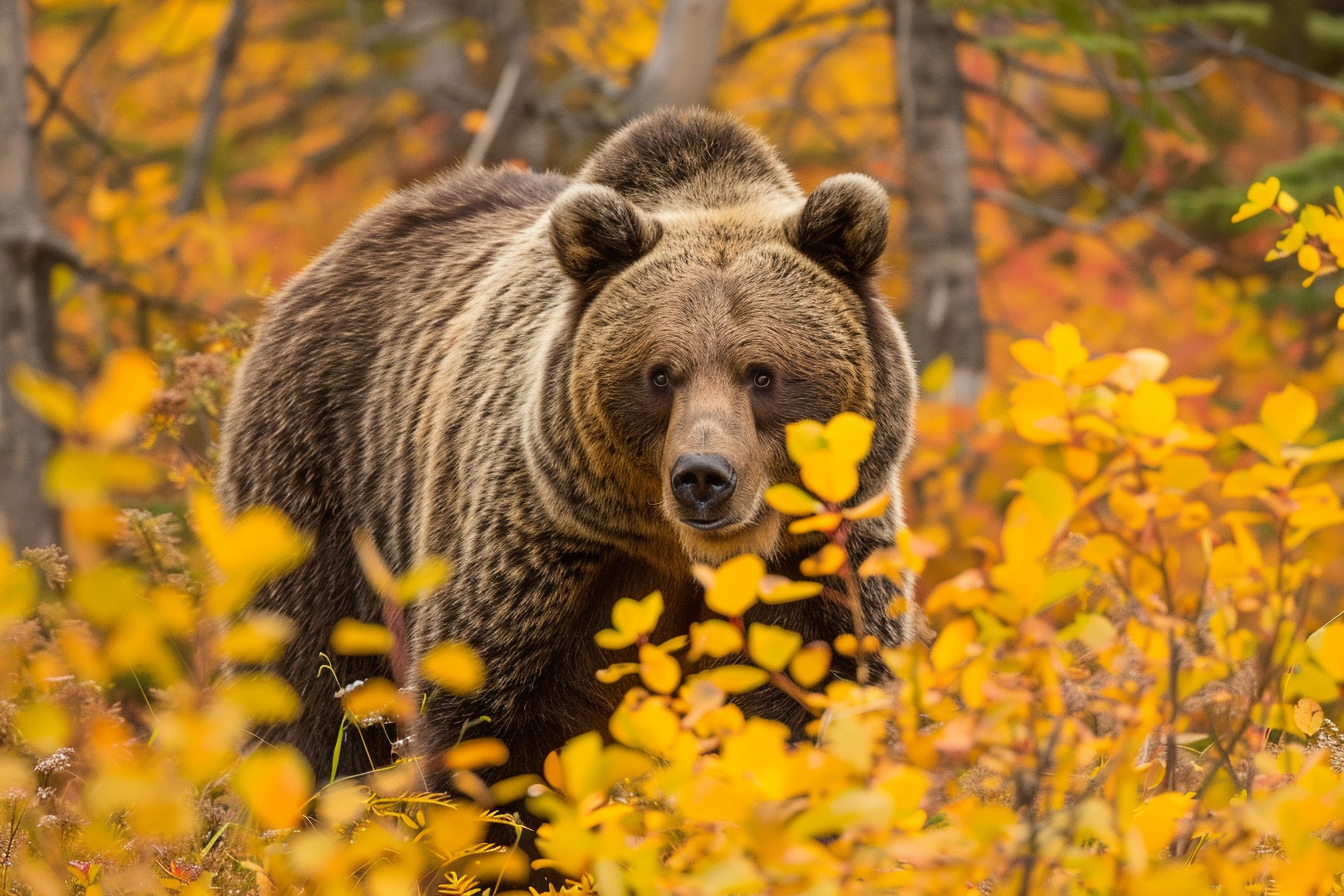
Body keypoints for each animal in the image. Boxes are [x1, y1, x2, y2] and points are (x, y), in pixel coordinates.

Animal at [216, 108, 920, 792]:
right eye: (660, 373)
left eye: (762, 373)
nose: (702, 477)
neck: (686, 553)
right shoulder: (542, 558)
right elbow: (491, 734)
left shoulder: (822, 565)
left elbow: (814, 711)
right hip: (324, 491)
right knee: (310, 690)